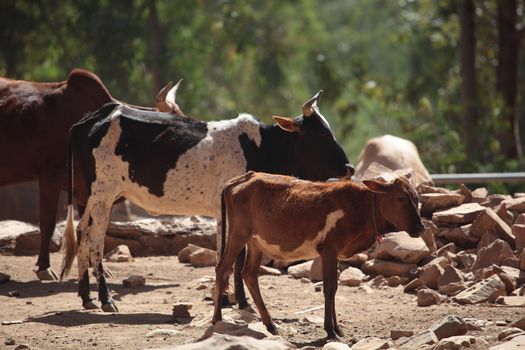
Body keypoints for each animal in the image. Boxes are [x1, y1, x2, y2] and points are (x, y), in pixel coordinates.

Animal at [61, 91, 350, 312]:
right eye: (321, 135)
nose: (349, 168)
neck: (259, 146)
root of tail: (94, 117)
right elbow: (233, 257)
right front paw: (236, 301)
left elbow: (231, 257)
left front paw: (231, 299)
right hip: (103, 194)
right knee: (95, 242)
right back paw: (105, 299)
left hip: (91, 198)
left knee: (82, 234)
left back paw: (86, 297)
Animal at [211, 171, 424, 340]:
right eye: (400, 198)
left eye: (416, 198)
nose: (420, 227)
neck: (359, 208)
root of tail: (242, 178)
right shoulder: (328, 250)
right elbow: (329, 288)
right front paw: (330, 330)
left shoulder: (335, 254)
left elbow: (335, 288)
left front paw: (337, 328)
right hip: (238, 234)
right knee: (222, 269)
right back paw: (217, 320)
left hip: (255, 242)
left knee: (249, 274)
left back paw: (270, 324)